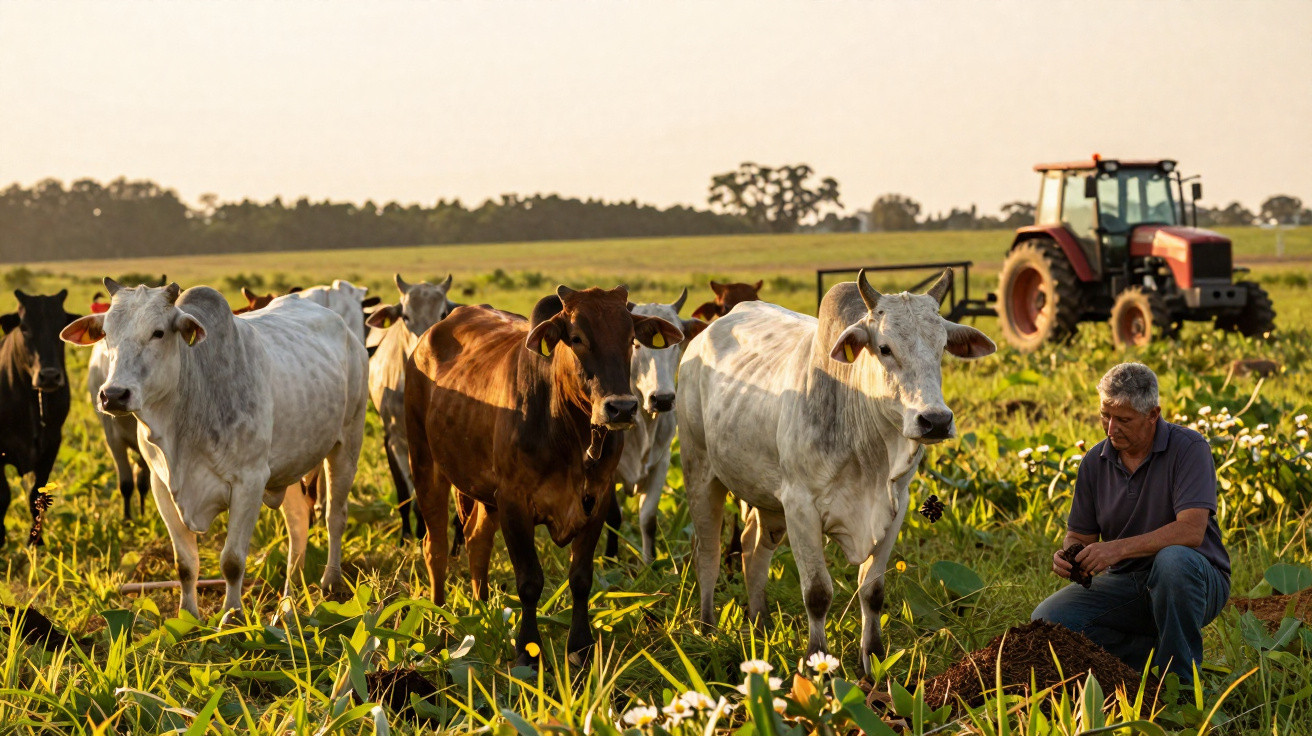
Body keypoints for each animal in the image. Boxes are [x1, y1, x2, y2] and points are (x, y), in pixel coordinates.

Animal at [0, 290, 77, 546]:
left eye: (61, 325)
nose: (50, 376)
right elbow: (4, 494)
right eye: (24, 327)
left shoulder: (52, 443)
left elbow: (37, 492)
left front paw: (36, 540)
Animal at [62, 279, 368, 617]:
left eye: (158, 332)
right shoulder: (161, 486)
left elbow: (232, 562)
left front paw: (231, 617)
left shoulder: (249, 482)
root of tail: (348, 331)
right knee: (298, 527)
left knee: (334, 515)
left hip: (347, 443)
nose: (114, 395)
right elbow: (185, 564)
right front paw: (188, 616)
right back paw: (287, 605)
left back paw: (330, 581)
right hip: (288, 467)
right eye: (105, 333)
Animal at [404, 285, 683, 666]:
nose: (622, 408)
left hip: (484, 491)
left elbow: (581, 578)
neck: (570, 431)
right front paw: (527, 651)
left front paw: (580, 648)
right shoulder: (514, 503)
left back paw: (481, 610)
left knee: (477, 539)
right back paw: (438, 618)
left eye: (631, 339)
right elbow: (529, 582)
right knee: (436, 547)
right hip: (424, 462)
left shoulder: (597, 500)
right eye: (577, 338)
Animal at [603, 289, 706, 562]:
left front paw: (648, 562)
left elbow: (648, 519)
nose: (662, 399)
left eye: (678, 343)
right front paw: (610, 560)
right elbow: (613, 517)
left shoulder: (662, 463)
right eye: (635, 343)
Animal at [676, 269, 995, 673]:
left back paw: (759, 623)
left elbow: (872, 591)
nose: (935, 420)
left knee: (752, 548)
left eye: (941, 348)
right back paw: (707, 630)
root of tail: (705, 334)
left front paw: (873, 661)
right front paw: (818, 664)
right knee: (709, 553)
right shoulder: (800, 507)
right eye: (884, 348)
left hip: (768, 500)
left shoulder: (896, 506)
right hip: (699, 470)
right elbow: (817, 593)